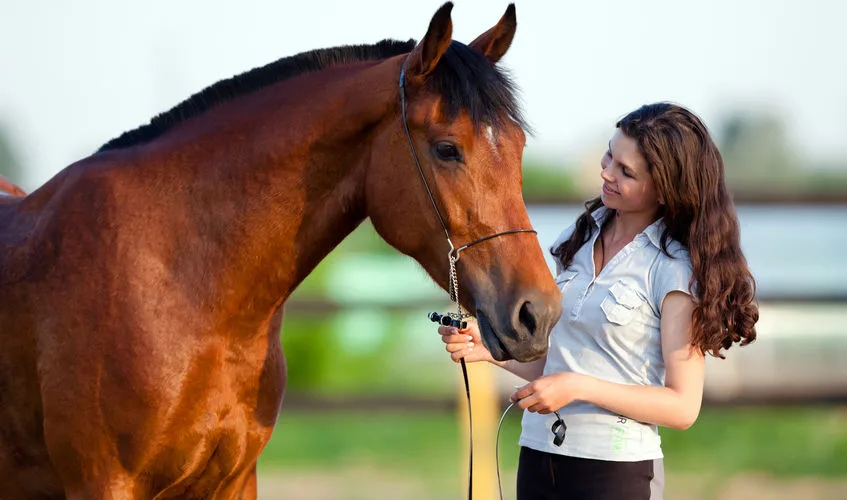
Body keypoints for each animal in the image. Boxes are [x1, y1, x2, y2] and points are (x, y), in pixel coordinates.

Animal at [0, 3, 562, 498]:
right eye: (447, 149)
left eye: (517, 146)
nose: (539, 314)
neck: (178, 283)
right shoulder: (104, 483)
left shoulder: (234, 481)